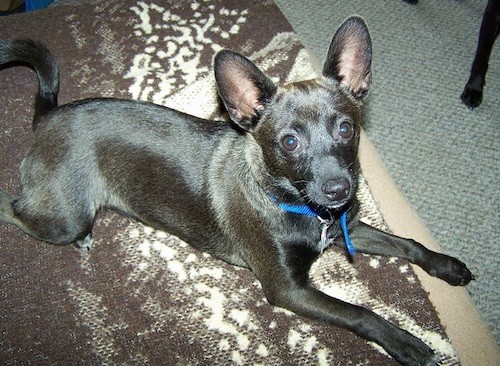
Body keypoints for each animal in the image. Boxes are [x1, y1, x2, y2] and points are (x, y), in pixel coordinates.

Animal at [0, 16, 472, 364]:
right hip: (63, 217)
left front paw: (446, 265)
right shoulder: (288, 290)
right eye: (289, 142)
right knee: (14, 207)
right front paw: (405, 342)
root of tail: (48, 116)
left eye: (346, 129)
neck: (298, 208)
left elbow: (408, 245)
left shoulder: (349, 226)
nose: (339, 189)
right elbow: (359, 312)